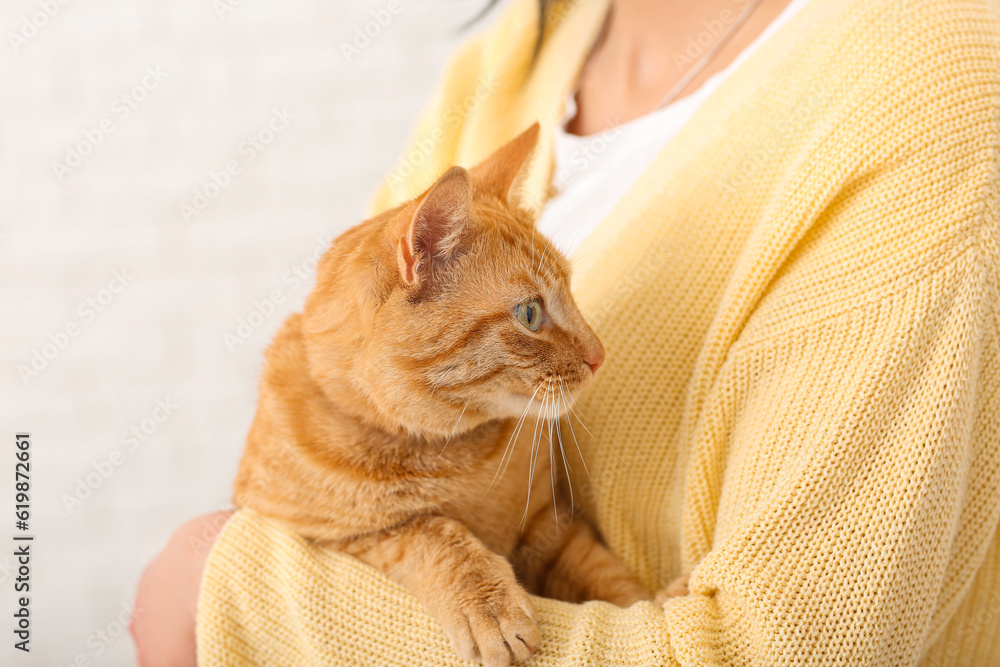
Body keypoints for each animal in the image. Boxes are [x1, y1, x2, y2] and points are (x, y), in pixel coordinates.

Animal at [235, 125, 656, 667]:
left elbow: (609, 580)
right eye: (530, 314)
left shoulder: (552, 525)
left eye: (571, 292)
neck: (452, 459)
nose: (599, 354)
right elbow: (427, 531)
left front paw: (650, 603)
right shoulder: (324, 534)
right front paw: (487, 603)